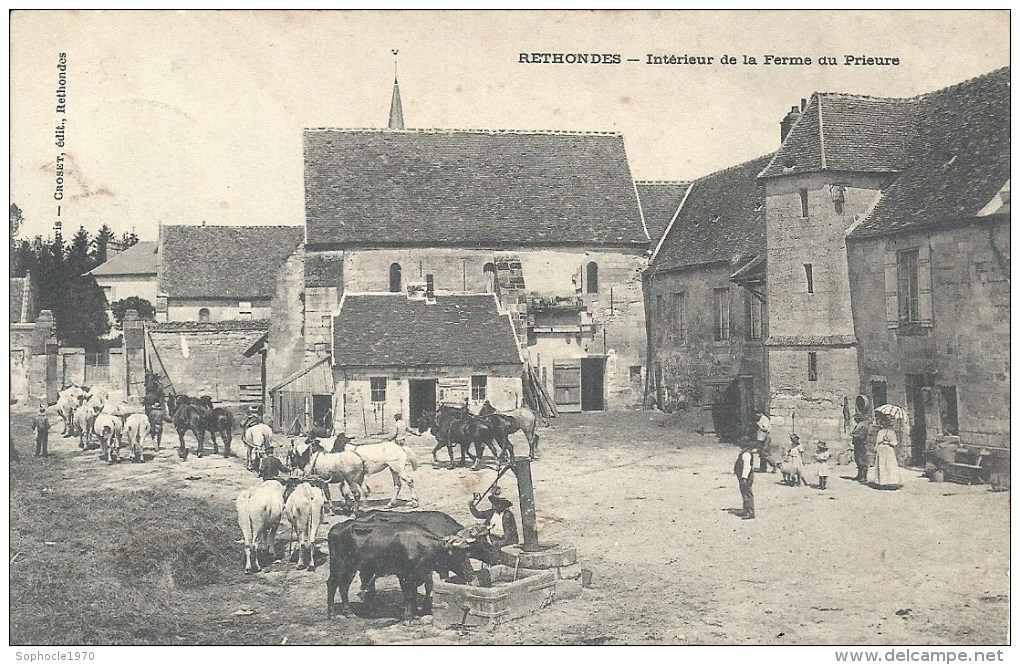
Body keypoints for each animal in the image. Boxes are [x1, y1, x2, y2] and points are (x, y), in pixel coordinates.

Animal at [326, 520, 481, 624]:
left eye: (468, 554)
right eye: (460, 556)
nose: (473, 577)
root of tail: (337, 526)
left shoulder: (418, 575)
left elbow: (414, 594)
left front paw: (416, 613)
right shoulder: (404, 575)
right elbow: (408, 596)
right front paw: (408, 618)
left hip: (350, 569)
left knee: (343, 587)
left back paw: (349, 613)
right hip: (340, 565)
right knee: (332, 584)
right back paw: (332, 614)